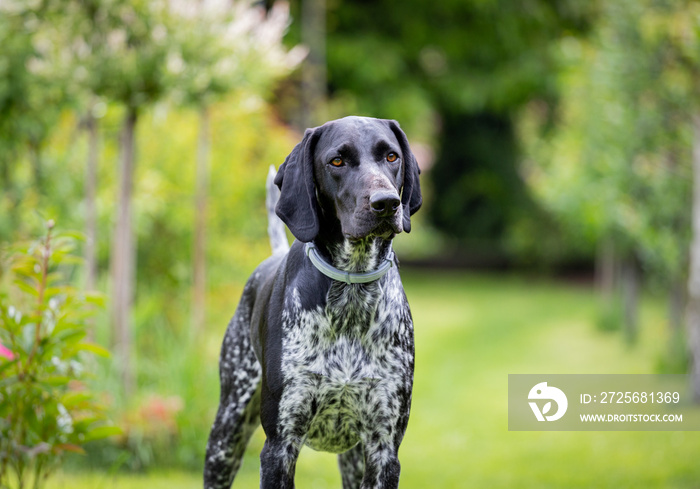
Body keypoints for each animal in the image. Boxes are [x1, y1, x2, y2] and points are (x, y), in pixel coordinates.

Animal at [202, 117, 422, 488]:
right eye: (337, 161)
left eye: (391, 156)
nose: (387, 203)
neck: (351, 293)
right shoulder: (280, 446)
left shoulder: (383, 448)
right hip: (226, 433)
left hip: (354, 459)